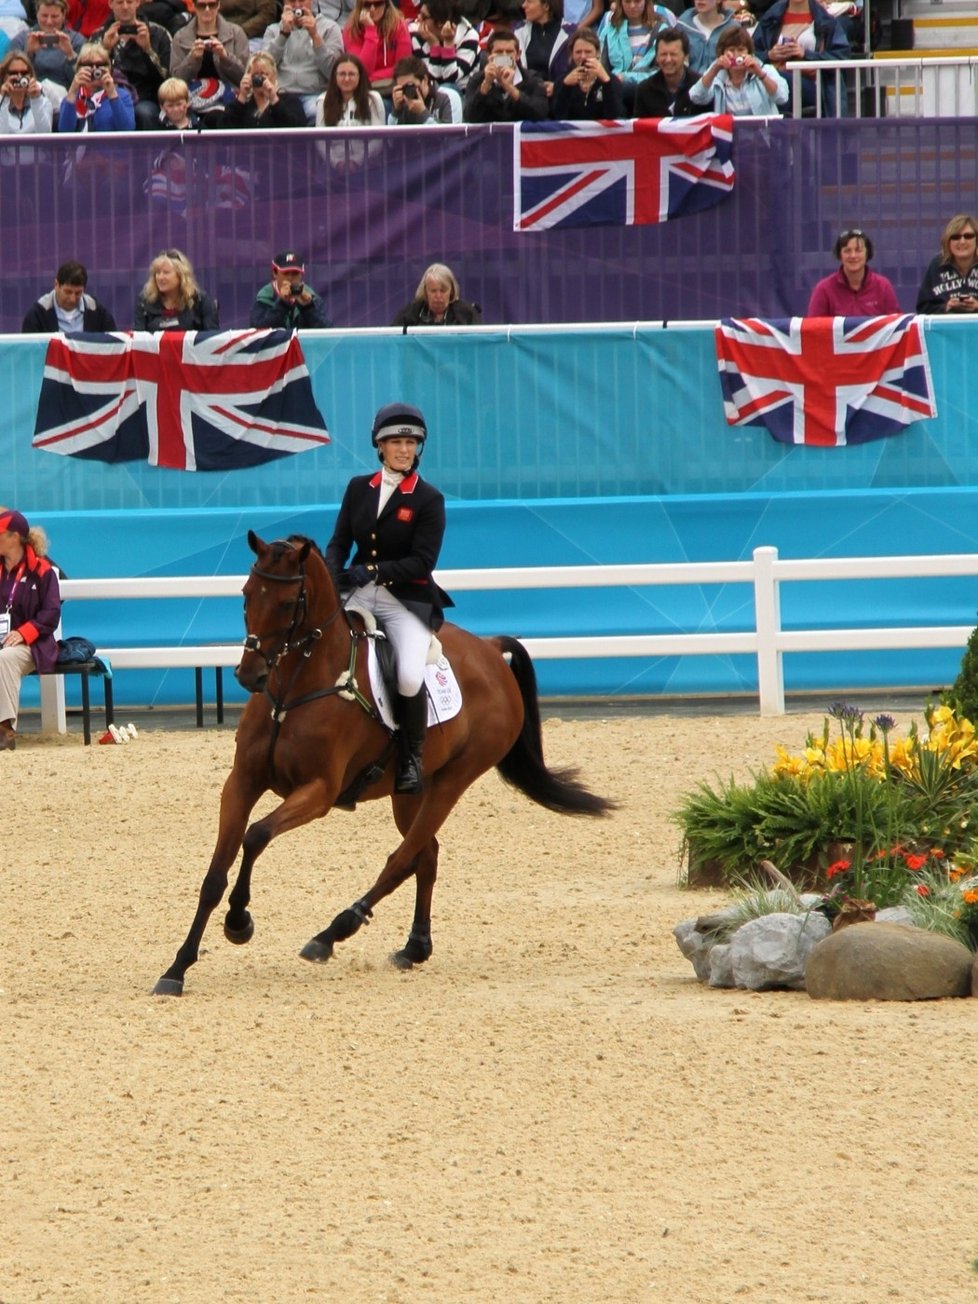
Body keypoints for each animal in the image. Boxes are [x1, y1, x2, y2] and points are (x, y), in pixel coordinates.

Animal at [152, 532, 612, 996]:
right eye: (247, 594)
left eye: (285, 604)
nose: (249, 677)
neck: (295, 688)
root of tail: (489, 649)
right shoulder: (243, 782)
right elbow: (214, 876)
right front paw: (177, 968)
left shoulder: (319, 791)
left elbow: (256, 835)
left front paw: (239, 921)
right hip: (409, 791)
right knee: (427, 855)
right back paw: (414, 948)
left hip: (453, 781)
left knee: (403, 859)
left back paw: (332, 933)